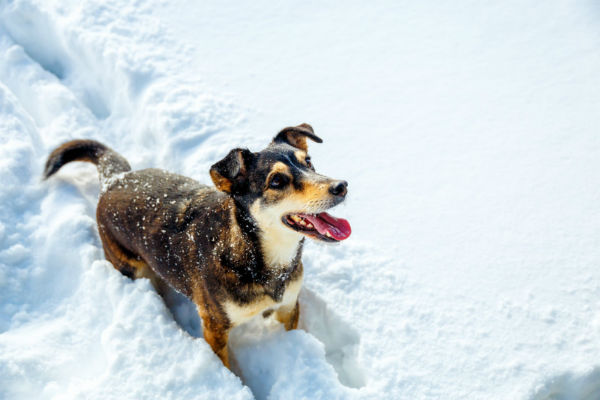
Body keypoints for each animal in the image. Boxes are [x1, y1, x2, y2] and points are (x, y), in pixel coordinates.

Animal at [44, 123, 352, 368]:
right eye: (277, 180)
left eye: (308, 162)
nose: (341, 186)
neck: (256, 256)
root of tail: (115, 180)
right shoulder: (215, 327)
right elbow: (229, 369)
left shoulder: (288, 307)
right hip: (127, 264)